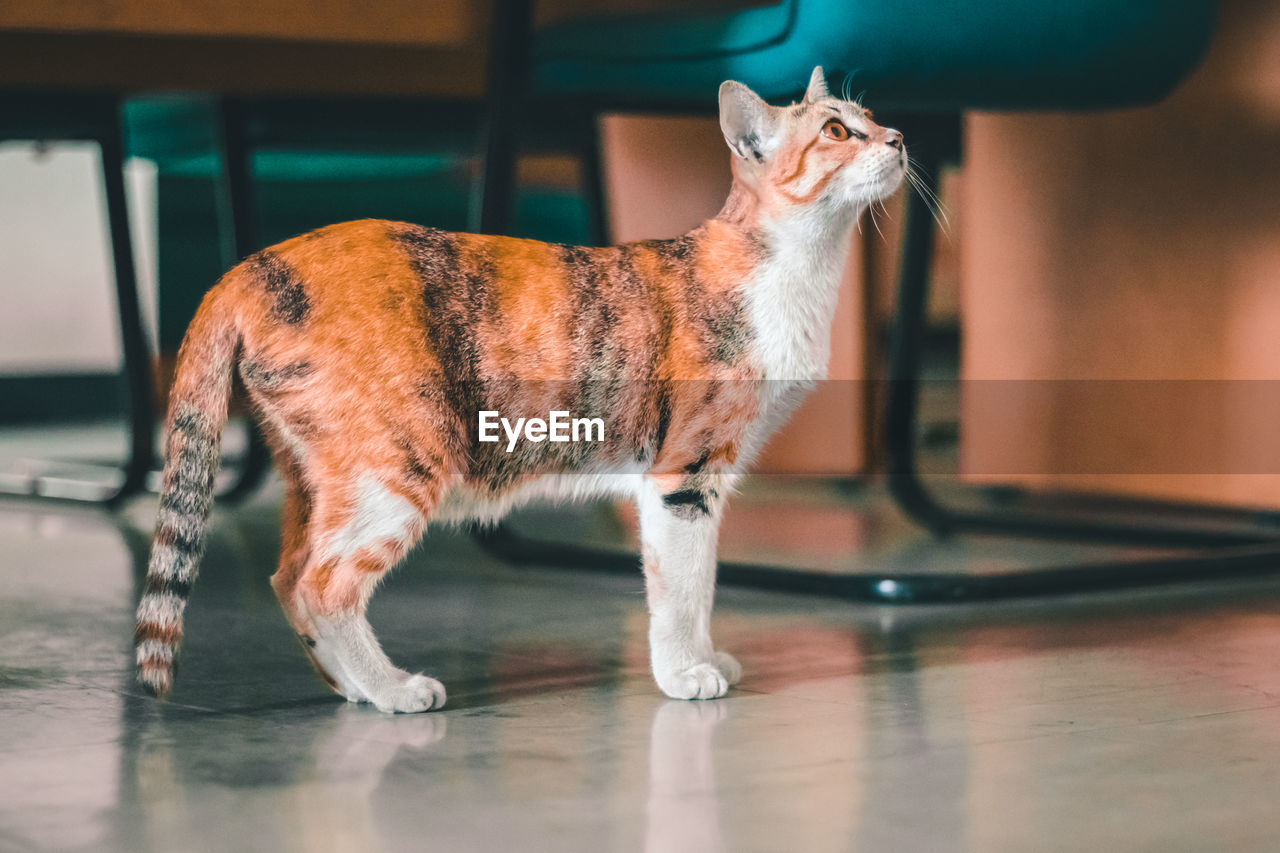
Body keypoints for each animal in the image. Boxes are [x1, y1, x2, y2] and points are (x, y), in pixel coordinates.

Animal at [135, 66, 906, 706]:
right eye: (837, 131)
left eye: (871, 117)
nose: (900, 137)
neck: (793, 270)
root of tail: (250, 266)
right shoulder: (684, 473)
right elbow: (684, 589)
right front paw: (687, 671)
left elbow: (705, 580)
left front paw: (707, 657)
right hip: (397, 463)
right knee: (321, 585)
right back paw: (392, 690)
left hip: (321, 470)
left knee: (289, 575)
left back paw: (352, 687)